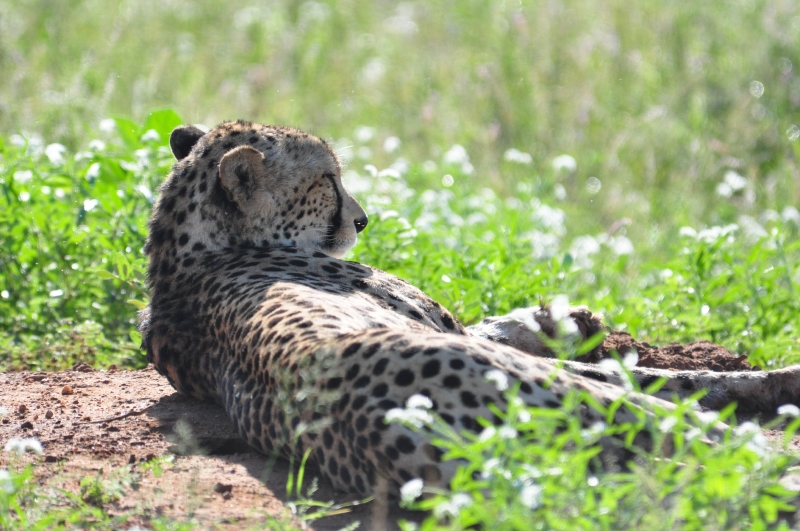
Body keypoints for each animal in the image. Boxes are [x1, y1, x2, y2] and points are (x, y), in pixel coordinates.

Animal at [138, 120, 800, 497]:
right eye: (327, 179)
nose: (363, 220)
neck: (193, 250)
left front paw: (557, 317)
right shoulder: (452, 330)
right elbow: (670, 374)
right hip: (576, 398)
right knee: (700, 429)